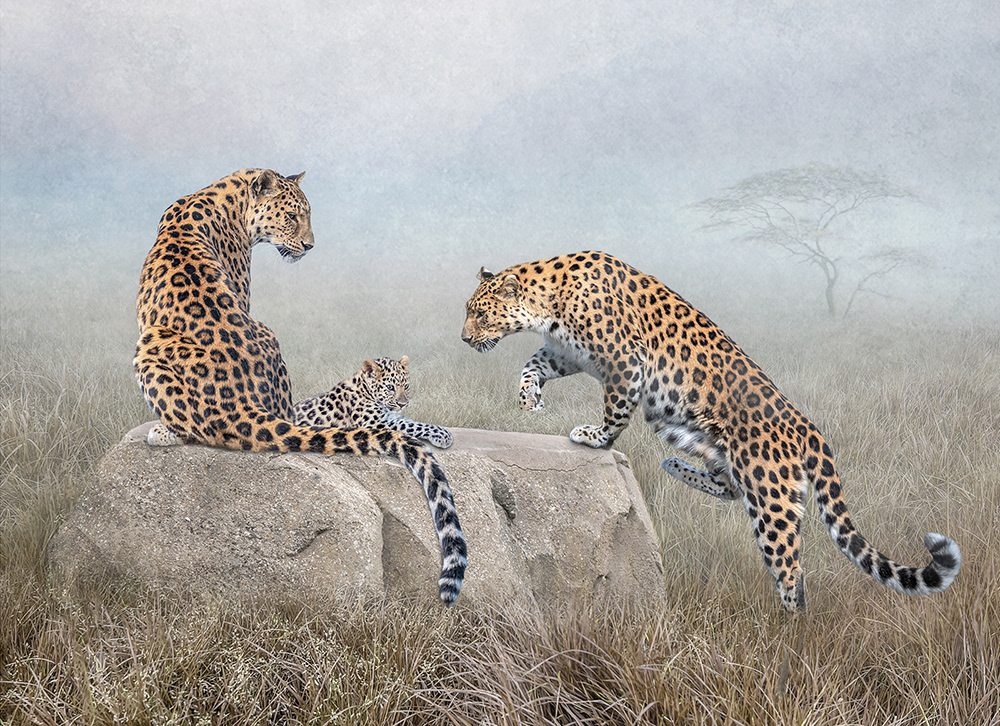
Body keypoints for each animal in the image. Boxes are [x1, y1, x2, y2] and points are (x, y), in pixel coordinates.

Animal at [293, 356, 454, 449]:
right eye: (390, 387)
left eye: (406, 386)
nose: (403, 404)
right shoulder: (374, 424)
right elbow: (410, 425)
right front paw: (443, 435)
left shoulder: (390, 416)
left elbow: (413, 422)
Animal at [461, 250, 960, 612]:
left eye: (481, 315)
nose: (464, 339)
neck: (549, 300)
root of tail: (808, 428)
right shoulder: (566, 353)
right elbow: (531, 365)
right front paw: (529, 402)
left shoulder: (625, 361)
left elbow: (614, 410)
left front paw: (594, 436)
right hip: (709, 445)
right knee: (728, 485)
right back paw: (674, 465)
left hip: (771, 500)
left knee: (790, 571)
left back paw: (789, 628)